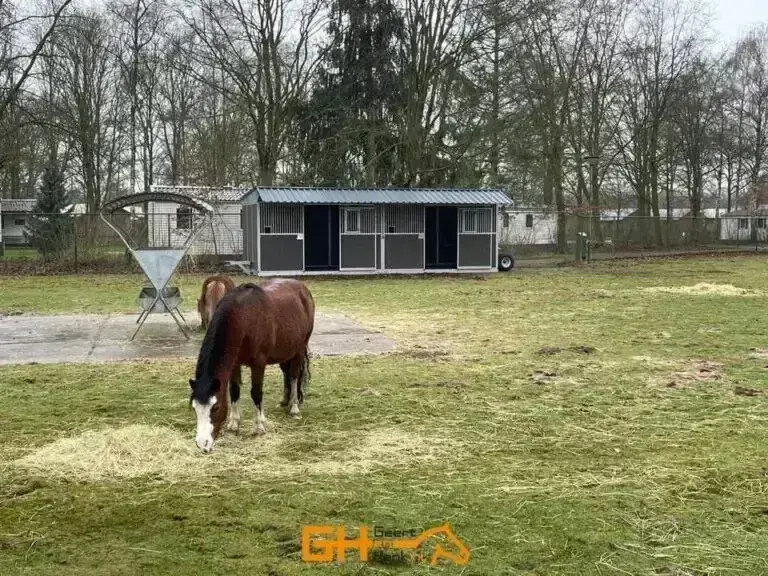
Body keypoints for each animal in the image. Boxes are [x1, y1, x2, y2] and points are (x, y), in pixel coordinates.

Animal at [188, 278, 315, 453]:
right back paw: (284, 401)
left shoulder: (258, 364)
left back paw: (294, 408)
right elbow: (234, 390)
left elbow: (256, 393)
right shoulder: (234, 364)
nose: (203, 444)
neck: (243, 319)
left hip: (299, 350)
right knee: (286, 373)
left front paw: (259, 426)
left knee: (294, 376)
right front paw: (234, 423)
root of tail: (302, 288)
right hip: (285, 351)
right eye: (194, 408)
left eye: (216, 407)